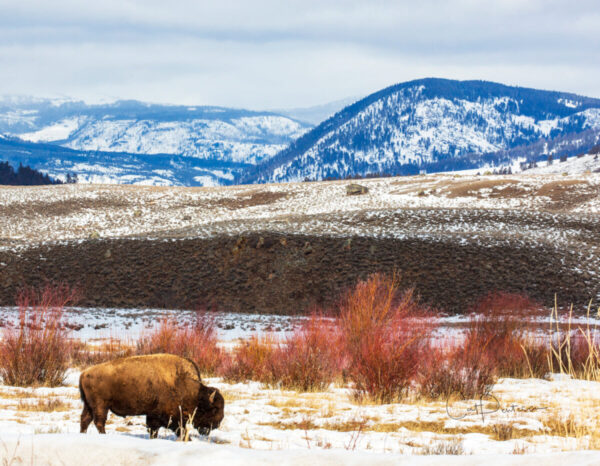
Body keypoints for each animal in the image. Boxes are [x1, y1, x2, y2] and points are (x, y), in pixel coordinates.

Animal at [77, 354, 223, 438]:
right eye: (214, 408)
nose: (216, 424)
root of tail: (84, 373)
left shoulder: (154, 416)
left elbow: (155, 430)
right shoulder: (168, 417)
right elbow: (178, 430)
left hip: (89, 405)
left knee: (85, 419)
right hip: (101, 405)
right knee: (99, 422)